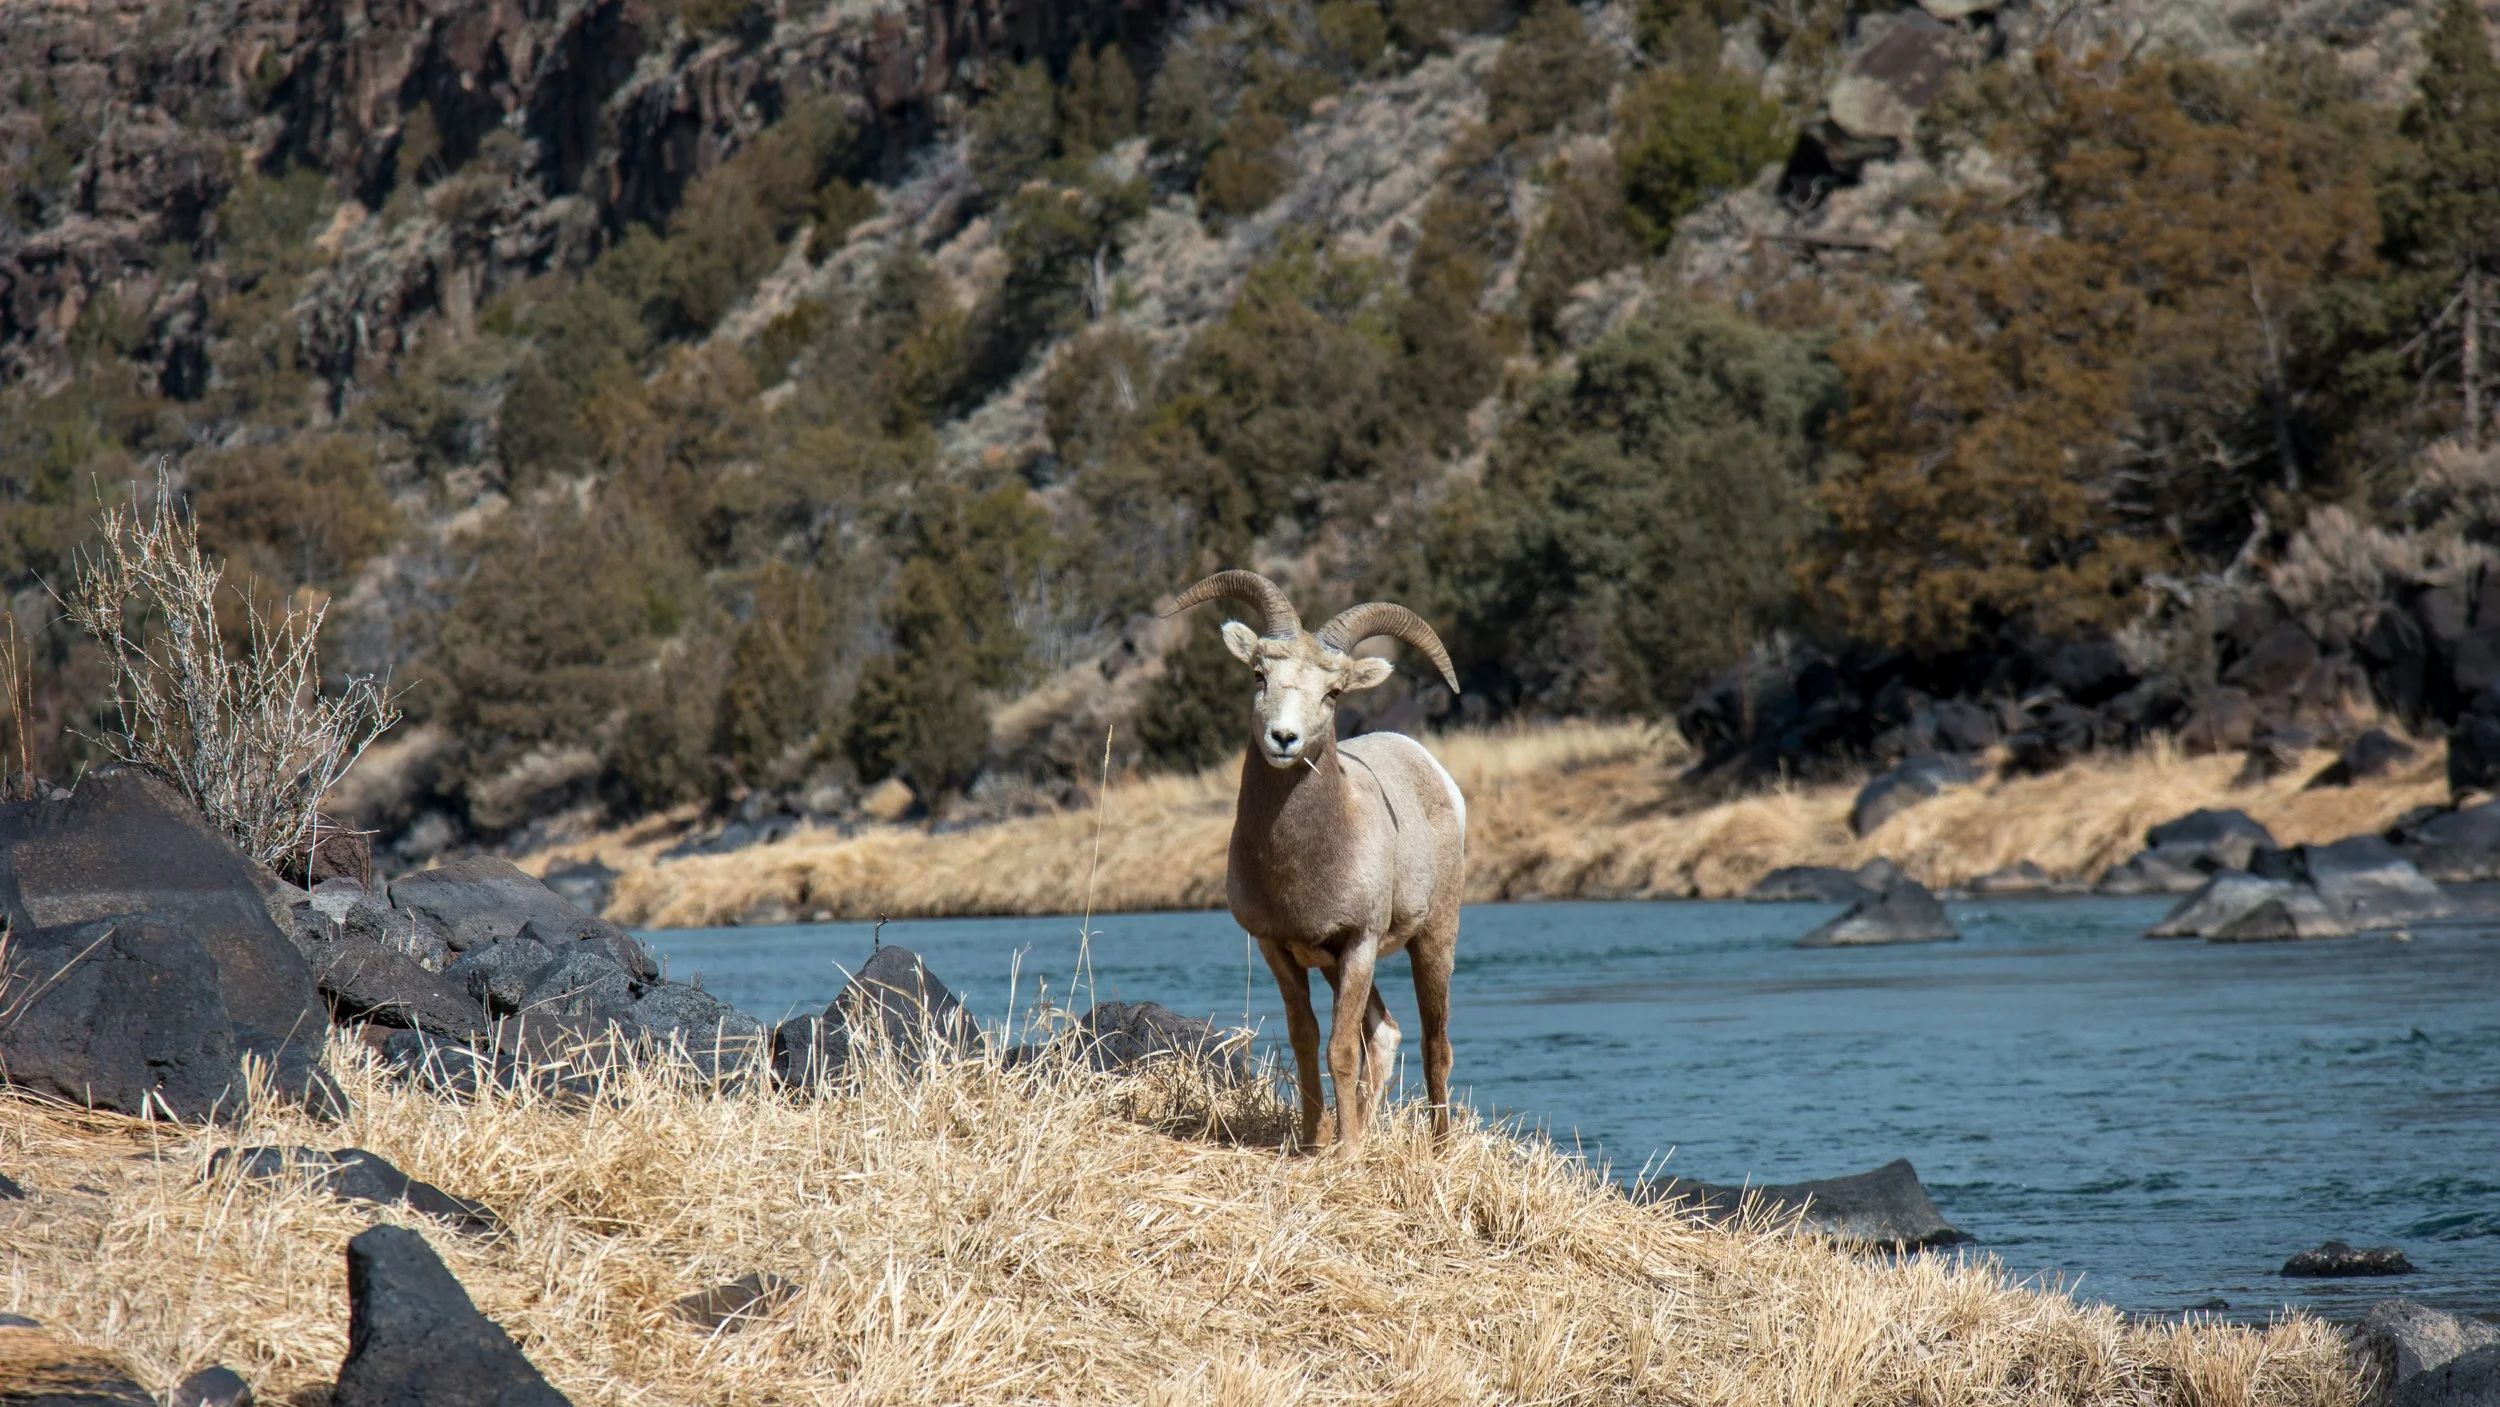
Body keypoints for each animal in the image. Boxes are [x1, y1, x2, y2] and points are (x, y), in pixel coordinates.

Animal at [1162, 570, 1466, 1150]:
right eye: (1259, 675)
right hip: (1333, 966)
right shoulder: (1279, 948)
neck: (1300, 867)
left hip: (1433, 938)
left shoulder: (1359, 945)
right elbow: (1306, 1041)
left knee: (1435, 1044)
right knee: (1386, 1034)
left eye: (1334, 692)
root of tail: (1433, 769)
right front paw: (1313, 1144)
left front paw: (1345, 1154)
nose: (1284, 738)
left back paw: (1438, 1149)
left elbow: (1340, 1050)